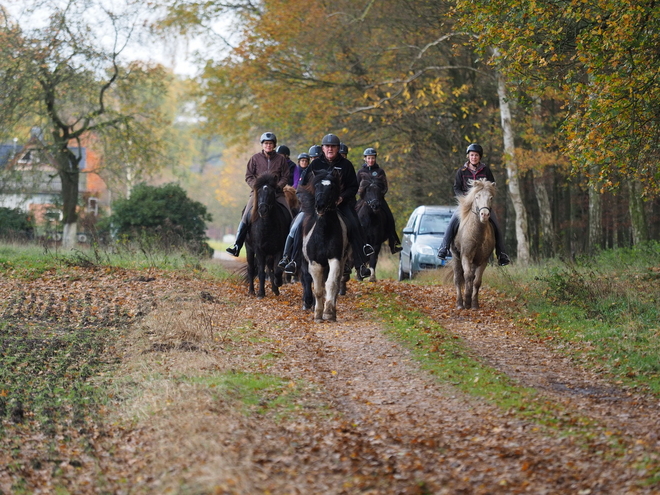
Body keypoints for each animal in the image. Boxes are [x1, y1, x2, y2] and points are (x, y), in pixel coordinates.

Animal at [298, 170, 350, 324]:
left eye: (331, 187)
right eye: (316, 186)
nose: (320, 206)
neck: (324, 232)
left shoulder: (335, 259)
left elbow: (331, 284)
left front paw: (328, 313)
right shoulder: (315, 263)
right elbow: (318, 289)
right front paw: (317, 314)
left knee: (335, 282)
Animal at [454, 178, 496, 310]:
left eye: (491, 198)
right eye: (477, 196)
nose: (484, 215)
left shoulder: (483, 260)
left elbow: (477, 281)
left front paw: (474, 304)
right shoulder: (465, 256)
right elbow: (467, 276)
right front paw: (467, 301)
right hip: (456, 257)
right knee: (458, 279)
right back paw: (459, 303)